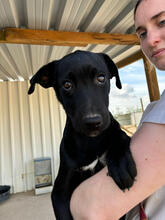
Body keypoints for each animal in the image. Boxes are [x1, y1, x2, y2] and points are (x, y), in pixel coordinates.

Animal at [28, 50, 137, 219]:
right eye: (67, 85)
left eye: (101, 78)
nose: (93, 122)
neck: (90, 141)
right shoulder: (59, 192)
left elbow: (120, 134)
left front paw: (120, 162)